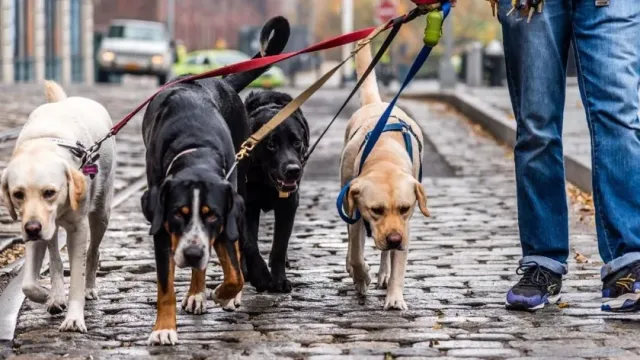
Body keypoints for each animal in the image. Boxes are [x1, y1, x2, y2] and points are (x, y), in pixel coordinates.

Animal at [1, 81, 115, 332]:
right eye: (18, 194)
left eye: (49, 192)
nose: (33, 228)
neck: (44, 143)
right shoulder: (32, 229)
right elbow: (27, 284)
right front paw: (48, 296)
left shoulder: (78, 229)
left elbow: (77, 278)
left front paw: (74, 318)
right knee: (54, 257)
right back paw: (55, 296)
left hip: (101, 213)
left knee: (93, 251)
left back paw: (90, 288)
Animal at [141, 16, 292, 346]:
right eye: (178, 213)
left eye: (212, 215)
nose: (193, 254)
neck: (196, 148)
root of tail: (218, 81)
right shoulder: (162, 225)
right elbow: (165, 286)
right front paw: (164, 329)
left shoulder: (227, 215)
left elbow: (235, 272)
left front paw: (225, 293)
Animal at [242, 90, 310, 292]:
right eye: (271, 144)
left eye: (297, 142)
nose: (293, 170)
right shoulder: (246, 204)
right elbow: (249, 243)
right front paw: (261, 277)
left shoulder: (289, 204)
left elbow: (280, 245)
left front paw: (279, 281)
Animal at [340, 43, 430, 310]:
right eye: (376, 209)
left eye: (405, 208)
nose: (393, 239)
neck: (384, 154)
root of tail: (377, 104)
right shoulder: (355, 211)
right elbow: (356, 252)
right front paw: (361, 277)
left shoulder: (405, 225)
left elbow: (398, 262)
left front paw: (395, 298)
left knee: (385, 254)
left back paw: (384, 273)